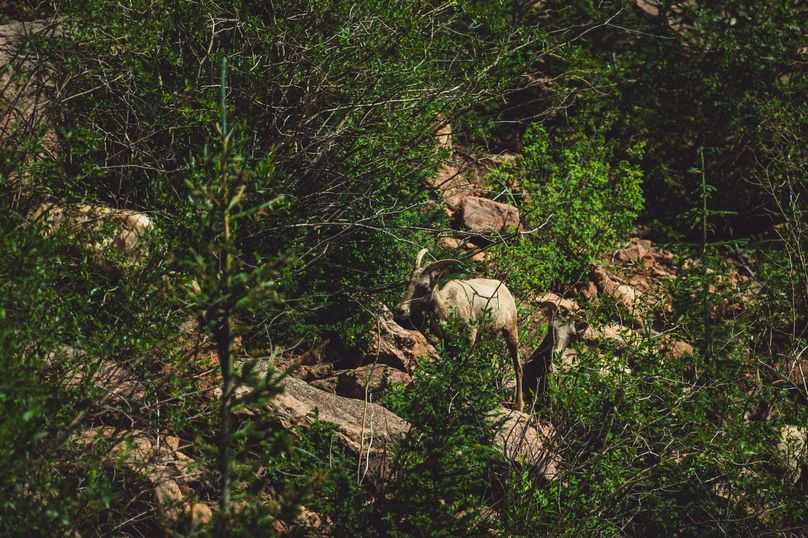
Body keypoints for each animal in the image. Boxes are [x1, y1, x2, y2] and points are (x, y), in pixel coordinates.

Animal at [393, 248, 524, 411]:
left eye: (424, 286)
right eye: (407, 282)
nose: (400, 310)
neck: (449, 310)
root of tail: (506, 290)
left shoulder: (470, 337)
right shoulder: (447, 341)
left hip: (511, 330)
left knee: (518, 366)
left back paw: (518, 405)